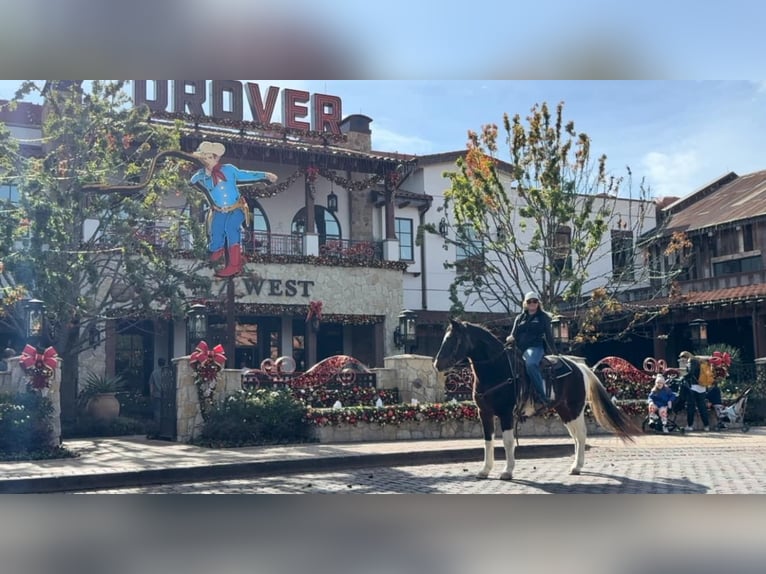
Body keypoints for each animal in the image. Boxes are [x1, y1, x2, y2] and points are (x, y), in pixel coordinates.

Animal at [432, 322, 640, 480]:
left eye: (452, 339)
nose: (436, 364)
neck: (497, 369)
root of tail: (580, 367)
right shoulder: (484, 413)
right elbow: (487, 441)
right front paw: (484, 470)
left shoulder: (506, 413)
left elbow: (507, 441)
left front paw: (507, 471)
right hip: (564, 411)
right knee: (575, 436)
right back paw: (575, 465)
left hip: (575, 409)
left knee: (581, 435)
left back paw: (577, 467)